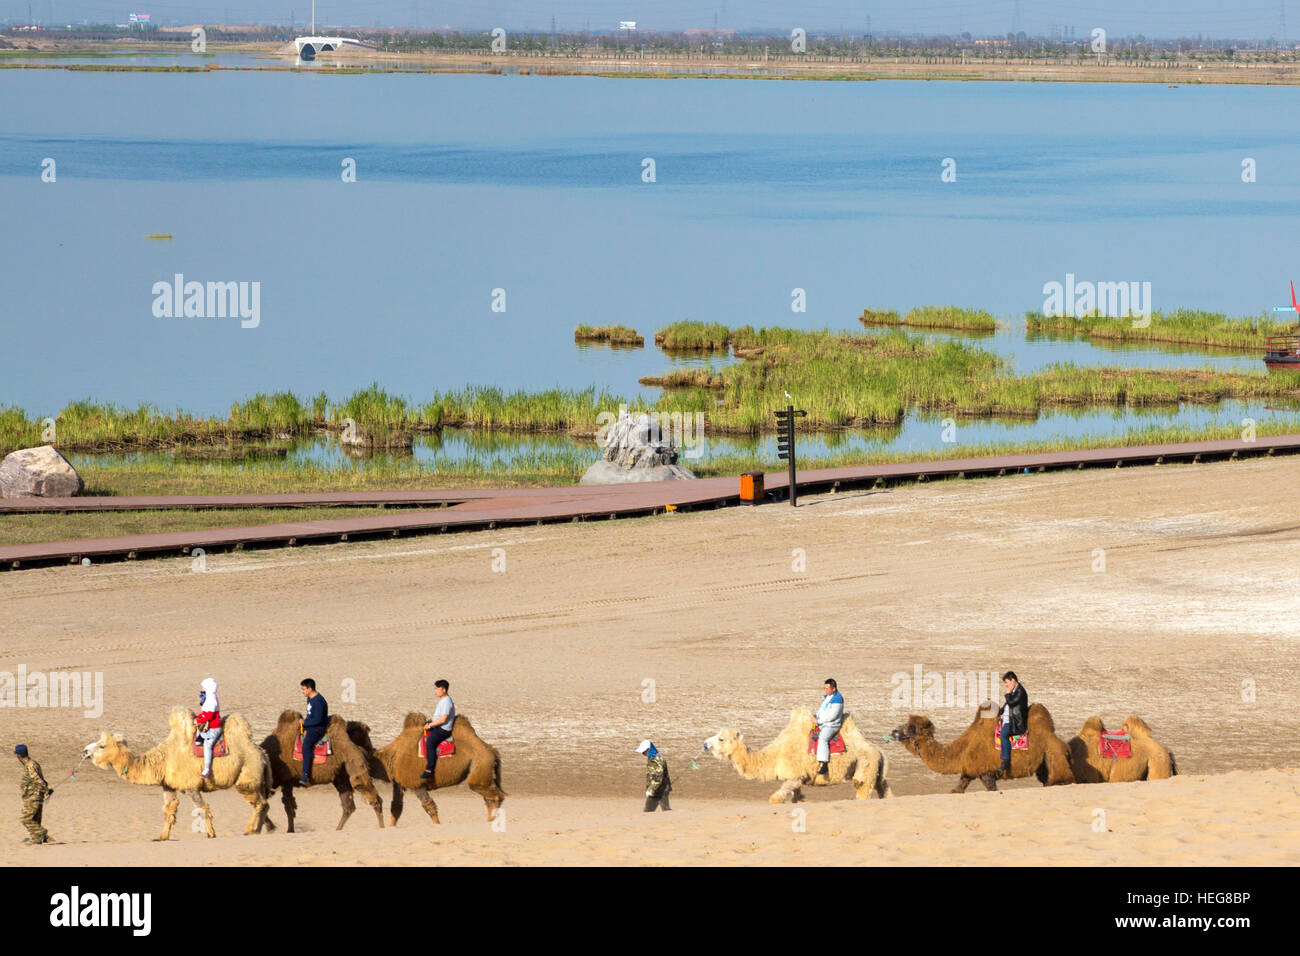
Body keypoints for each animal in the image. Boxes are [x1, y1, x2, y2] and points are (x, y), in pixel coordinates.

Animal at [83, 707, 271, 842]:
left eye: (102, 746)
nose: (85, 751)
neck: (163, 760)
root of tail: (261, 753)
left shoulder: (191, 786)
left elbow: (202, 808)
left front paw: (211, 834)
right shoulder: (168, 785)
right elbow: (169, 810)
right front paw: (162, 837)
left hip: (247, 776)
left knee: (259, 803)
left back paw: (250, 830)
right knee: (264, 803)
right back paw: (264, 829)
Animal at [351, 712, 506, 827]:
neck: (390, 758)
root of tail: (491, 749)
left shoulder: (416, 784)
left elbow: (429, 806)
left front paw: (437, 825)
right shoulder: (399, 783)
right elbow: (396, 807)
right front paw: (390, 827)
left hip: (480, 764)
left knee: (493, 795)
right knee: (490, 796)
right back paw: (490, 820)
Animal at [702, 707, 894, 806]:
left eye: (721, 738)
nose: (705, 744)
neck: (775, 755)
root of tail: (878, 750)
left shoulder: (795, 775)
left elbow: (777, 797)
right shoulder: (798, 780)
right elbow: (797, 797)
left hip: (865, 764)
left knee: (862, 787)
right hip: (877, 767)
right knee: (883, 786)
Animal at [894, 697, 1076, 790]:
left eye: (911, 727)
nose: (894, 731)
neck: (962, 750)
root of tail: (1064, 745)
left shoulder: (986, 772)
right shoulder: (967, 772)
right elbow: (957, 789)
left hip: (1053, 755)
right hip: (1043, 764)